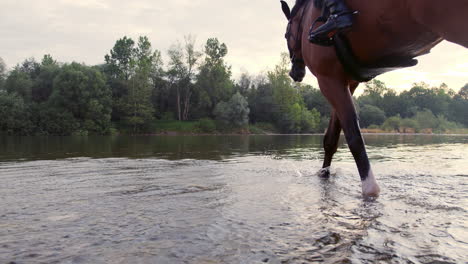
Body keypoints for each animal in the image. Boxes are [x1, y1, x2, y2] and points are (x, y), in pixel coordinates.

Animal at [280, 0, 466, 196]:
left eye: (286, 35)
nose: (295, 73)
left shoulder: (328, 79)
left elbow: (353, 136)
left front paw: (370, 188)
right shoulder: (348, 82)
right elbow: (331, 139)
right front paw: (324, 174)